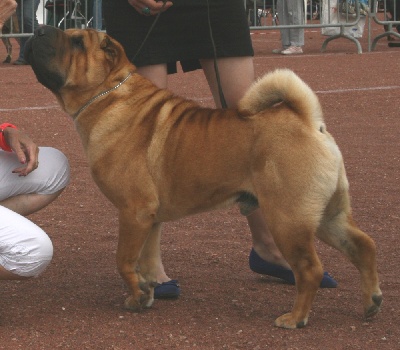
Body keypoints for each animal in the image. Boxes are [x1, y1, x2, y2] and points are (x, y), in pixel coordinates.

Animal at [24, 25, 382, 328]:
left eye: (76, 42)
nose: (38, 29)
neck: (109, 95)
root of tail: (308, 121)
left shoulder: (134, 211)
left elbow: (124, 259)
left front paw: (137, 293)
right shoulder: (149, 217)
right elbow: (147, 259)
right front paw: (145, 293)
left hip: (289, 218)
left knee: (309, 270)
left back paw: (295, 318)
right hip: (327, 215)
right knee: (363, 245)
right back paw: (371, 302)